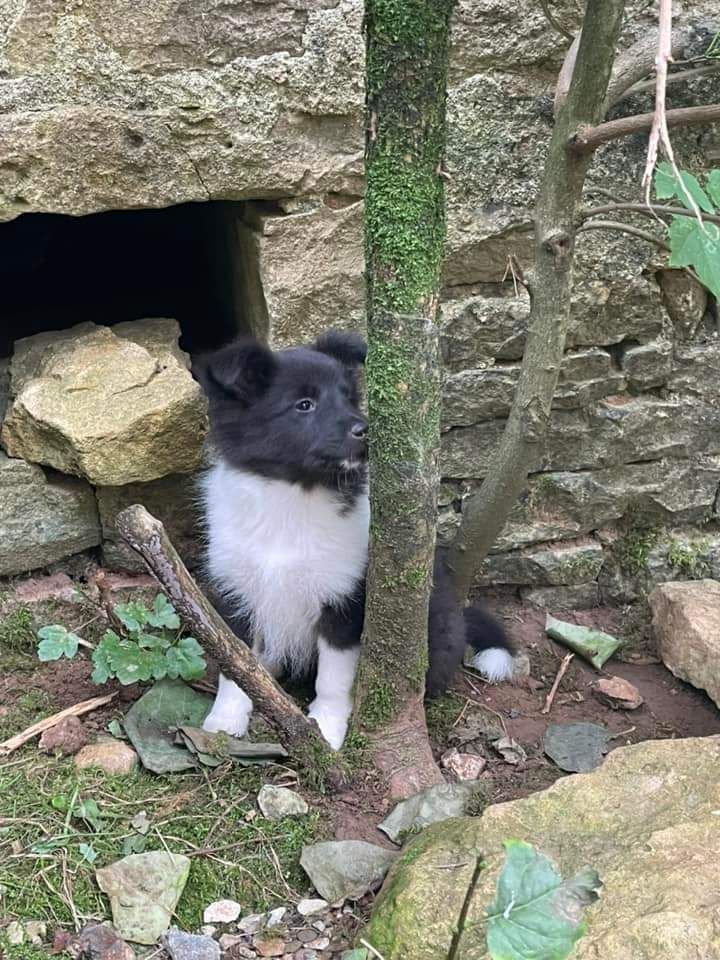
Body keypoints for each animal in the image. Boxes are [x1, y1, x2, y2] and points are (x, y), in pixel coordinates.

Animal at [195, 330, 515, 750]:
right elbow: (236, 663)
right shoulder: (236, 590)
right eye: (304, 405)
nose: (367, 430)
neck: (293, 498)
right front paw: (226, 718)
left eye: (349, 397)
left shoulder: (344, 602)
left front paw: (327, 729)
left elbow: (332, 680)